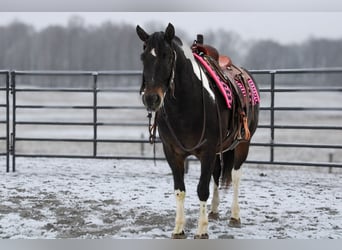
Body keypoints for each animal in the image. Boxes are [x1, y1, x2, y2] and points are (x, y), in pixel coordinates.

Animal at [136, 23, 260, 238]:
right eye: (143, 57)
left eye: (167, 56)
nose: (151, 99)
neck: (186, 105)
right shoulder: (173, 153)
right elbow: (180, 190)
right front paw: (179, 229)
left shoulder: (207, 151)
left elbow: (202, 189)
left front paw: (202, 230)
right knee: (217, 173)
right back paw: (214, 210)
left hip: (243, 143)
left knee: (236, 175)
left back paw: (235, 216)